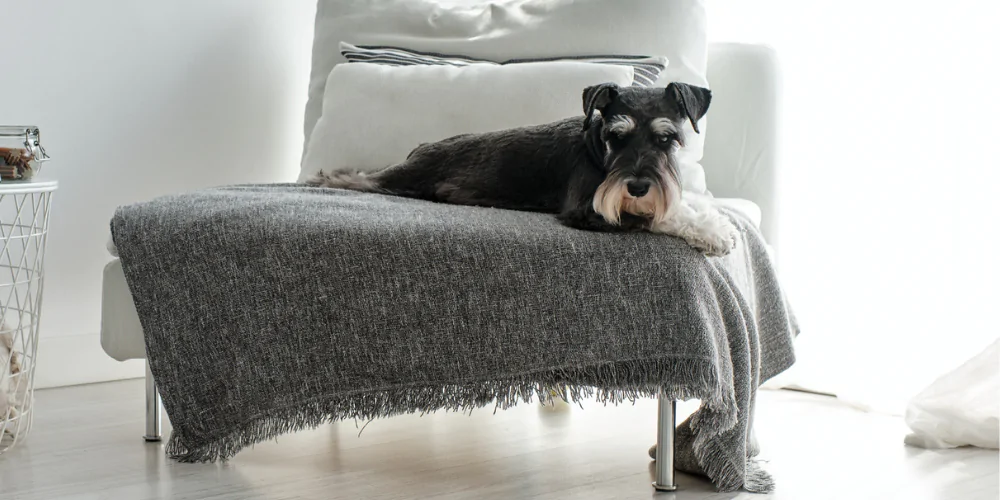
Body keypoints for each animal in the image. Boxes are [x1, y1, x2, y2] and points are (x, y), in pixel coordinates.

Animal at [308, 82, 740, 258]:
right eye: (617, 136)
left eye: (667, 139)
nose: (636, 186)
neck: (595, 148)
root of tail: (422, 147)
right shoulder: (590, 210)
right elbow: (658, 216)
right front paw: (713, 233)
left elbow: (681, 201)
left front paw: (714, 218)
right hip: (401, 179)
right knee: (358, 178)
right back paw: (321, 178)